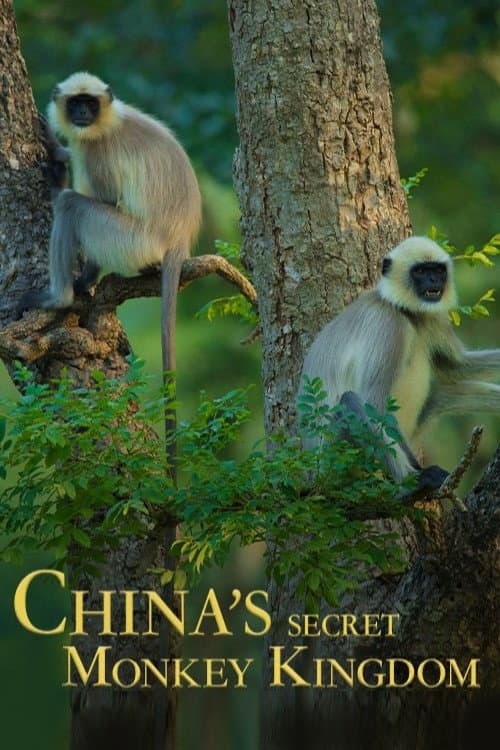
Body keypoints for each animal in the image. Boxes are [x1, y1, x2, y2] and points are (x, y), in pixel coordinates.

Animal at [300, 236, 500, 492]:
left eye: (438, 270)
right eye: (421, 271)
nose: (434, 280)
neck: (405, 313)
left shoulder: (431, 317)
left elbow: (455, 368)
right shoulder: (387, 325)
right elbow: (375, 406)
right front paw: (420, 474)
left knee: (442, 395)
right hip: (334, 458)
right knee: (350, 401)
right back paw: (411, 482)